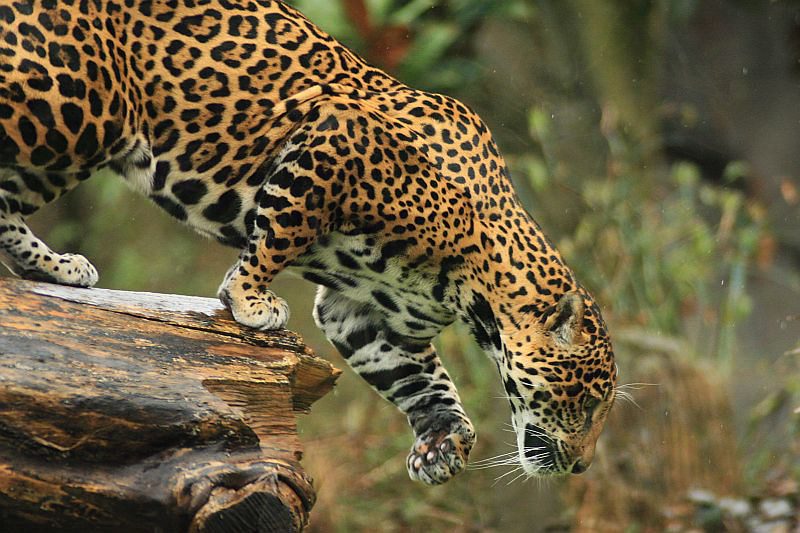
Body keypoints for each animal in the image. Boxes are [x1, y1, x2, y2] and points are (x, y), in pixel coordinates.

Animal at [0, 0, 617, 485]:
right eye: (586, 402)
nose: (583, 465)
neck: (472, 285)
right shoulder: (330, 144)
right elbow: (277, 235)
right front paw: (248, 300)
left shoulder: (363, 313)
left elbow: (422, 381)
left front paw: (445, 444)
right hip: (74, 110)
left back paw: (56, 268)